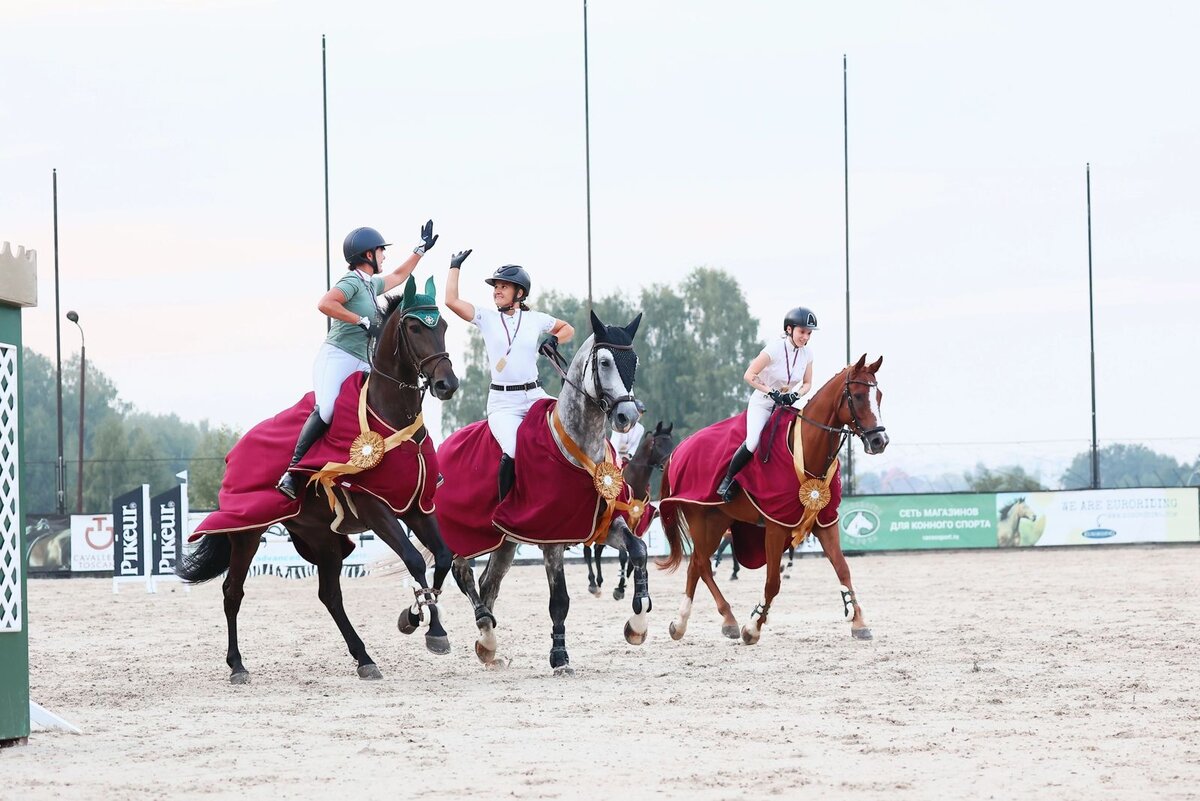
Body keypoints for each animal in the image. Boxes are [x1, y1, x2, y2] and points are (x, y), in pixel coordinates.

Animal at [177, 275, 458, 681]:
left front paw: (423, 620)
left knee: (330, 595)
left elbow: (443, 558)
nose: (446, 384)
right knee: (233, 591)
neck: (391, 417)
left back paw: (364, 658)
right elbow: (415, 561)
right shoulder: (374, 507)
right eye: (415, 327)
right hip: (247, 532)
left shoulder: (416, 507)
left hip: (322, 537)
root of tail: (233, 453)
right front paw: (424, 625)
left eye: (445, 326)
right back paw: (237, 665)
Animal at [439, 309, 648, 671]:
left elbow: (638, 550)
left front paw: (637, 622)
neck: (578, 448)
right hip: (464, 535)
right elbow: (559, 600)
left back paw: (488, 646)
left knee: (489, 583)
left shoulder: (603, 525)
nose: (627, 415)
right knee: (464, 572)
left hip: (505, 543)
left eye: (632, 360)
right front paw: (559, 656)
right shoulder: (552, 538)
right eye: (605, 361)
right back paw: (484, 627)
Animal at [585, 419, 681, 599]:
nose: (669, 464)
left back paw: (599, 581)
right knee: (588, 550)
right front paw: (619, 588)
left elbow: (633, 556)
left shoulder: (637, 525)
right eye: (658, 444)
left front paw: (623, 585)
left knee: (597, 549)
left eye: (672, 443)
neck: (634, 484)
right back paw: (593, 583)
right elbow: (623, 556)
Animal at [657, 354, 892, 642]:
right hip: (701, 518)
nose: (880, 440)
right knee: (701, 563)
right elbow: (773, 582)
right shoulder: (776, 525)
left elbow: (843, 569)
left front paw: (858, 621)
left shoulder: (825, 521)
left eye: (878, 395)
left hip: (718, 521)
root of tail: (679, 450)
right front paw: (753, 626)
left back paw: (690, 623)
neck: (806, 450)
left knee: (696, 565)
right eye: (858, 396)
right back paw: (717, 619)